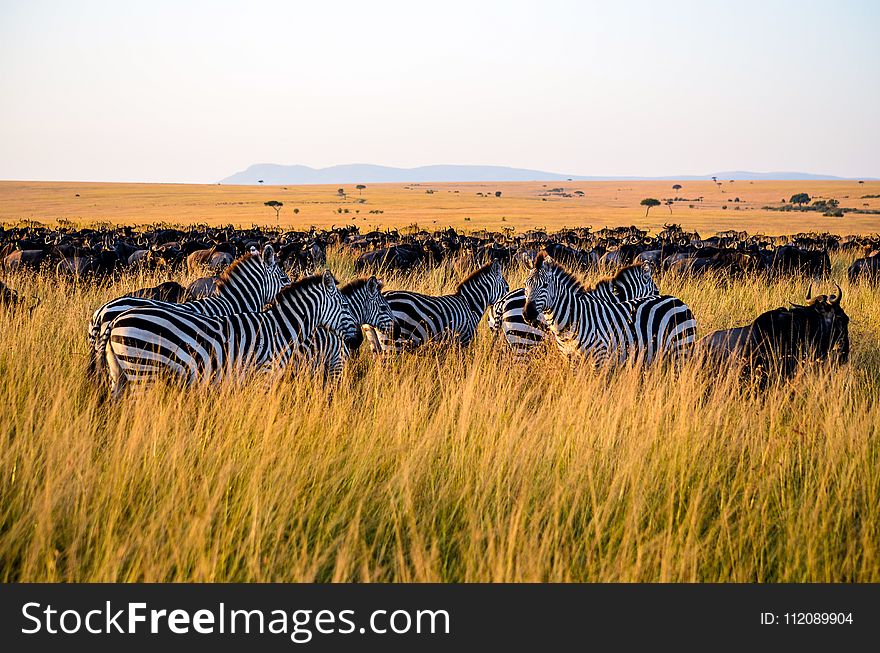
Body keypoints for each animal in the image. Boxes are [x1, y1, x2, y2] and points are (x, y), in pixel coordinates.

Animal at [100, 270, 354, 398]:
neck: (280, 328)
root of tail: (114, 321)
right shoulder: (264, 375)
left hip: (119, 373)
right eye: (344, 306)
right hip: (143, 370)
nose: (355, 339)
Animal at [362, 260, 508, 352]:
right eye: (507, 287)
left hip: (374, 340)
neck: (470, 304)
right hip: (393, 340)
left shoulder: (450, 342)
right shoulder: (464, 338)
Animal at [524, 253, 696, 366]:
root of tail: (678, 300)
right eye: (526, 285)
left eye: (545, 285)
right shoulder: (571, 359)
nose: (527, 313)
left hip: (681, 349)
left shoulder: (600, 357)